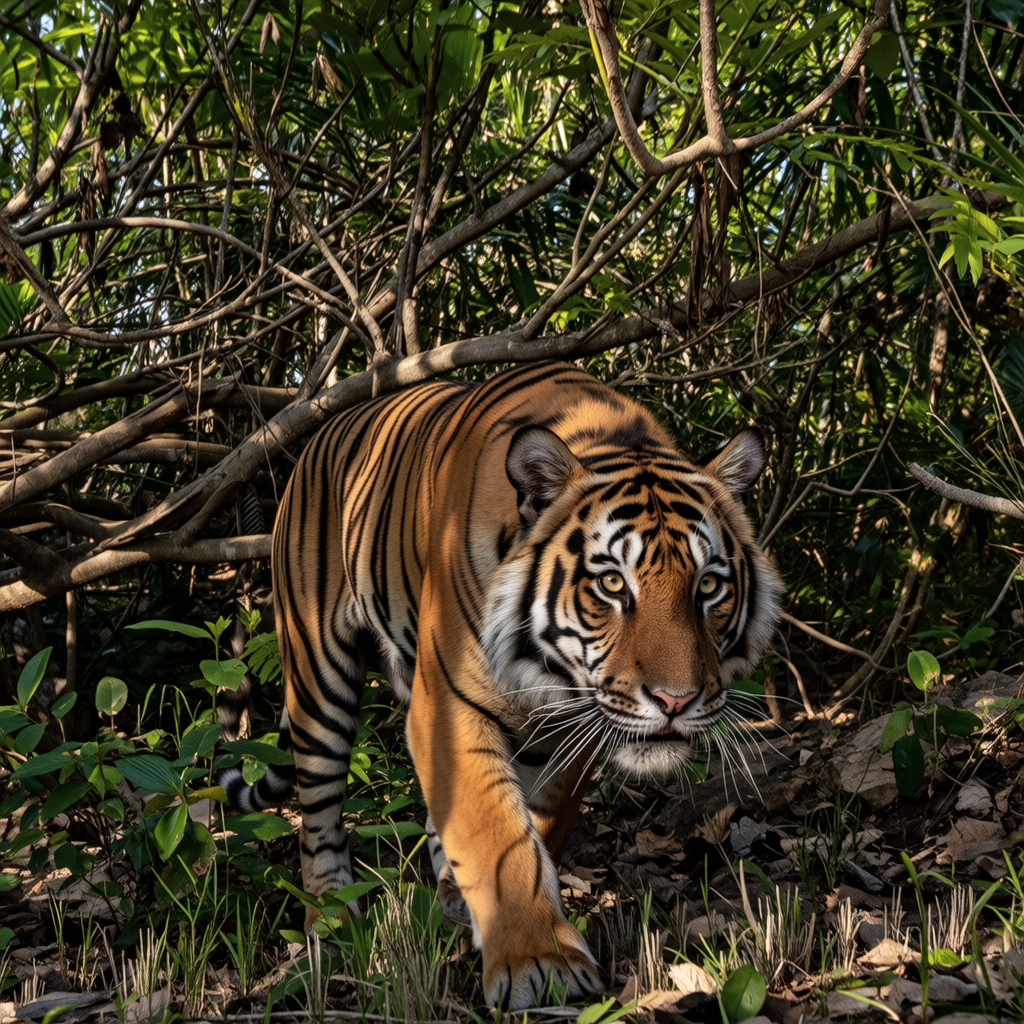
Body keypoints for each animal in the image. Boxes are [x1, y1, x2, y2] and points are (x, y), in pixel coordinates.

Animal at [222, 360, 782, 1009]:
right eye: (613, 584)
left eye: (709, 586)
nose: (676, 700)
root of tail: (319, 433)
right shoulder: (446, 705)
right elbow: (493, 831)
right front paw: (538, 963)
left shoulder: (568, 728)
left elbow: (536, 822)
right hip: (318, 674)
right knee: (318, 812)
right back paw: (330, 924)